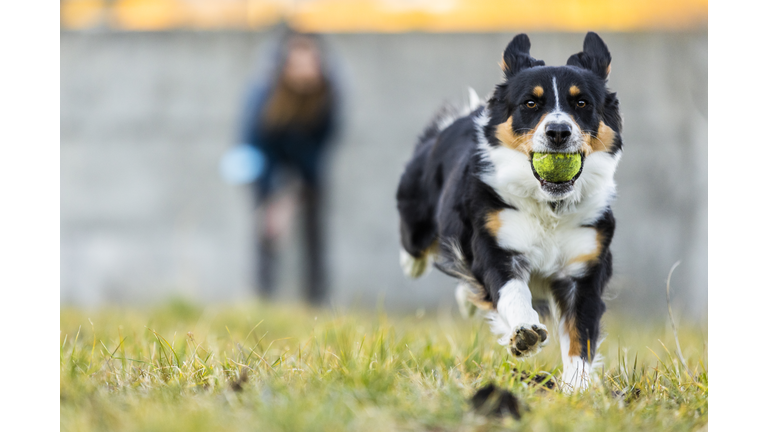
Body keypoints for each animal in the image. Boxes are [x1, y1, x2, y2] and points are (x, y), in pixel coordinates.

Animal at [400, 33, 620, 392]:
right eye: (530, 104)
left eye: (582, 103)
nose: (558, 132)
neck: (549, 207)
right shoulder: (494, 245)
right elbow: (511, 290)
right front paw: (524, 333)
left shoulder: (584, 269)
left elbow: (580, 334)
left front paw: (576, 388)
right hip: (416, 218)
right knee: (415, 247)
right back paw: (414, 264)